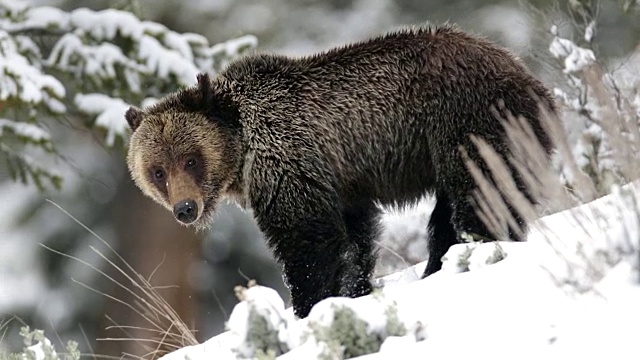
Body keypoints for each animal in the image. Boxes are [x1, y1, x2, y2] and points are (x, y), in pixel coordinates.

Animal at [125, 26, 556, 318]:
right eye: (157, 170)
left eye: (191, 159)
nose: (185, 209)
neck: (242, 147)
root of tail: (527, 74)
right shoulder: (339, 181)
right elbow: (354, 239)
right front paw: (354, 290)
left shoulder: (288, 162)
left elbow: (309, 241)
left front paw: (308, 305)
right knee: (449, 214)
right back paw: (439, 264)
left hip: (468, 123)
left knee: (481, 197)